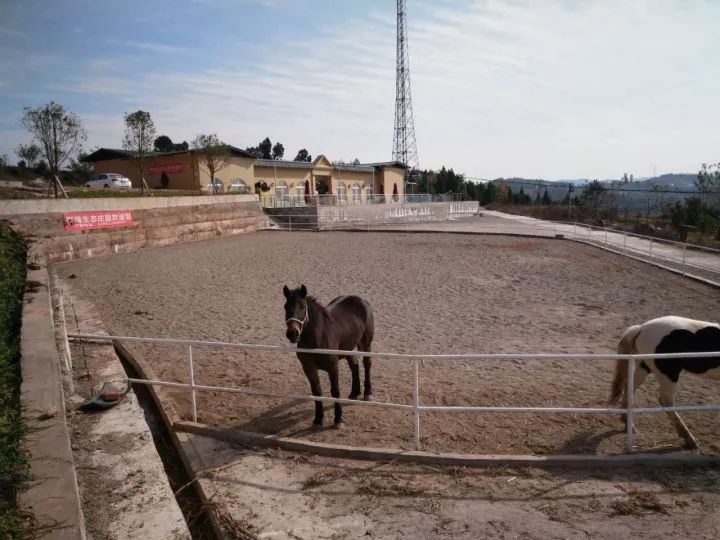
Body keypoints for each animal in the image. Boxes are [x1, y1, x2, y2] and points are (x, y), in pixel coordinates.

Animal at [282, 284, 374, 428]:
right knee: (354, 364)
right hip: (347, 348)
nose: (292, 334)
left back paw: (368, 393)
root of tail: (361, 300)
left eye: (302, 306)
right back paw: (354, 393)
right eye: (286, 306)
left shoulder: (332, 367)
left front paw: (338, 420)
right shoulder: (309, 368)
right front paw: (318, 419)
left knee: (367, 364)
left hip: (366, 343)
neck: (318, 339)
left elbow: (335, 391)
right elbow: (317, 392)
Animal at [608, 314, 720, 450]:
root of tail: (642, 327)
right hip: (669, 373)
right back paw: (689, 438)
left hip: (645, 366)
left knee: (631, 387)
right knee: (666, 400)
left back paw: (627, 422)